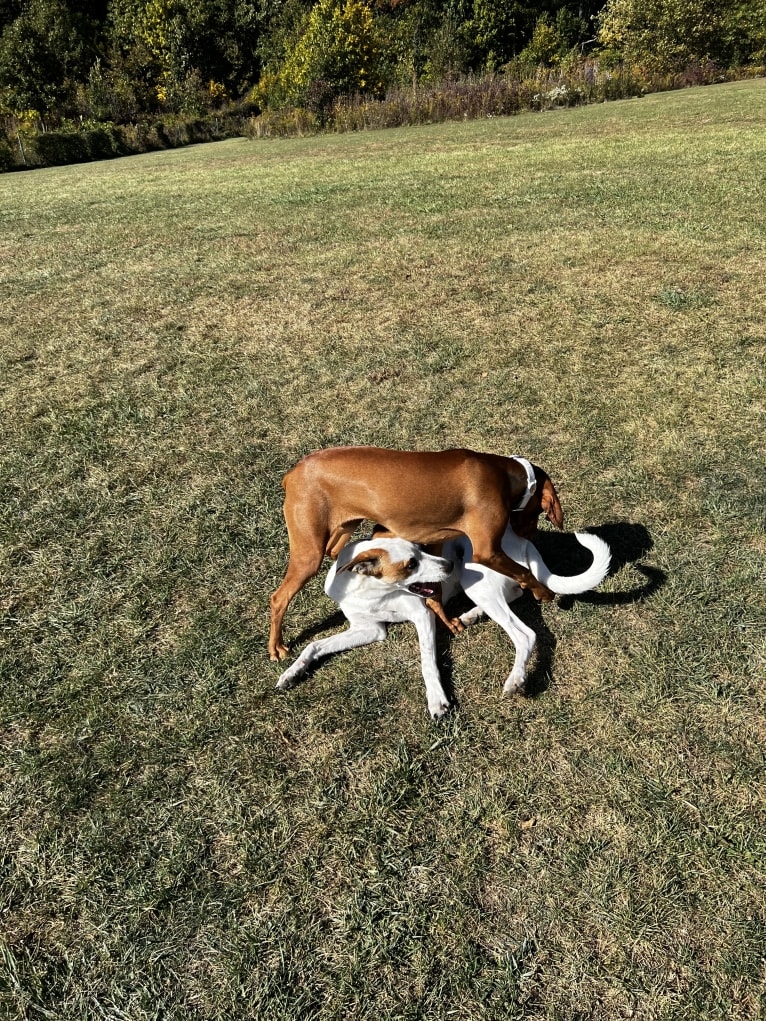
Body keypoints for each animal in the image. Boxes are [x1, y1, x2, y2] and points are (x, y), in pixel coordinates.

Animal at [267, 447, 563, 661]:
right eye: (539, 511)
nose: (529, 536)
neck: (501, 473)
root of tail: (291, 474)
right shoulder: (487, 552)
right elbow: (524, 572)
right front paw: (544, 593)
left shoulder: (435, 542)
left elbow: (434, 591)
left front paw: (447, 620)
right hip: (309, 554)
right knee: (278, 598)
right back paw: (276, 647)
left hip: (340, 531)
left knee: (337, 554)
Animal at [275, 526, 612, 718]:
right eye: (411, 563)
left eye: (420, 549)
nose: (448, 564)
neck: (371, 591)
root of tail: (523, 542)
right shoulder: (368, 629)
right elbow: (313, 645)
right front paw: (291, 673)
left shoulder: (422, 614)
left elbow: (427, 663)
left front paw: (437, 700)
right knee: (515, 597)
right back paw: (471, 615)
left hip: (474, 579)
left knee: (525, 634)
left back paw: (515, 679)